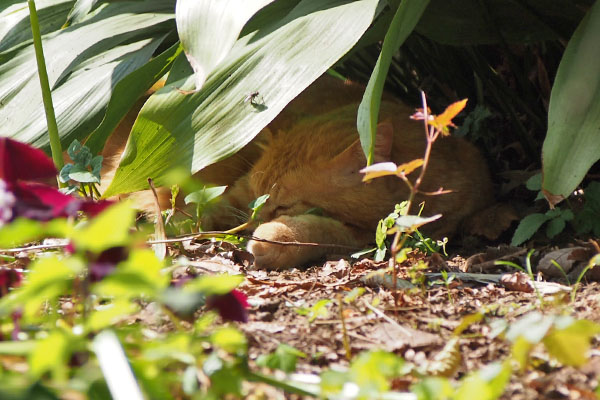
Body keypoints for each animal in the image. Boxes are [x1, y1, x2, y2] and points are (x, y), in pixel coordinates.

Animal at [102, 75, 492, 268]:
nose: (254, 221)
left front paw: (275, 235)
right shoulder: (235, 192)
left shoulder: (380, 231)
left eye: (284, 206)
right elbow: (207, 209)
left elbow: (323, 230)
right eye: (259, 198)